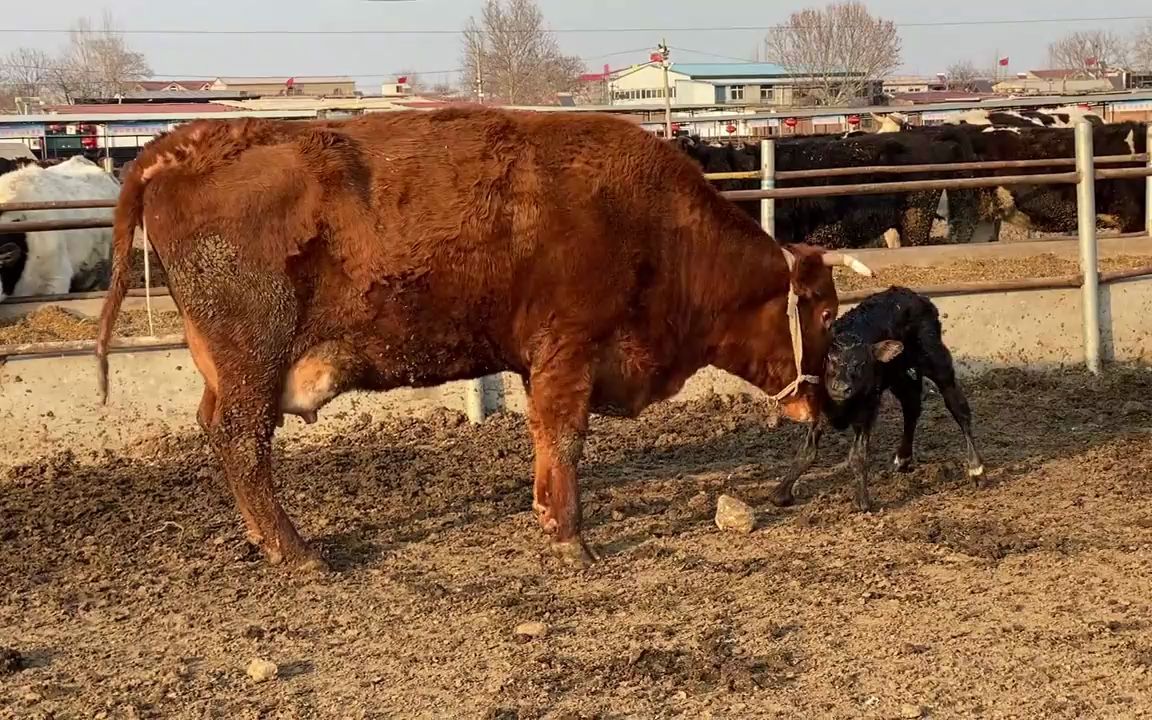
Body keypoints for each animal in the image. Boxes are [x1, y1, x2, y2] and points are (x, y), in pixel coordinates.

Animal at [96, 105, 870, 566]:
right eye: (825, 315)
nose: (823, 404)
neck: (655, 226)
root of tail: (187, 144)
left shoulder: (543, 361)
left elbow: (546, 439)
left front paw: (546, 514)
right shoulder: (569, 350)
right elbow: (564, 435)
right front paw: (571, 538)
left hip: (225, 368)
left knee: (218, 432)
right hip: (253, 365)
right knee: (242, 442)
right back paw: (297, 551)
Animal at [774, 286, 981, 511]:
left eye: (862, 363)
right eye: (828, 359)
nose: (841, 388)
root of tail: (911, 294)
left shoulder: (868, 409)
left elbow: (858, 455)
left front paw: (863, 501)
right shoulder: (819, 409)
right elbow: (807, 452)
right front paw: (781, 493)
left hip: (936, 360)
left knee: (958, 406)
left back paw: (976, 468)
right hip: (898, 374)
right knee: (912, 405)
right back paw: (903, 458)